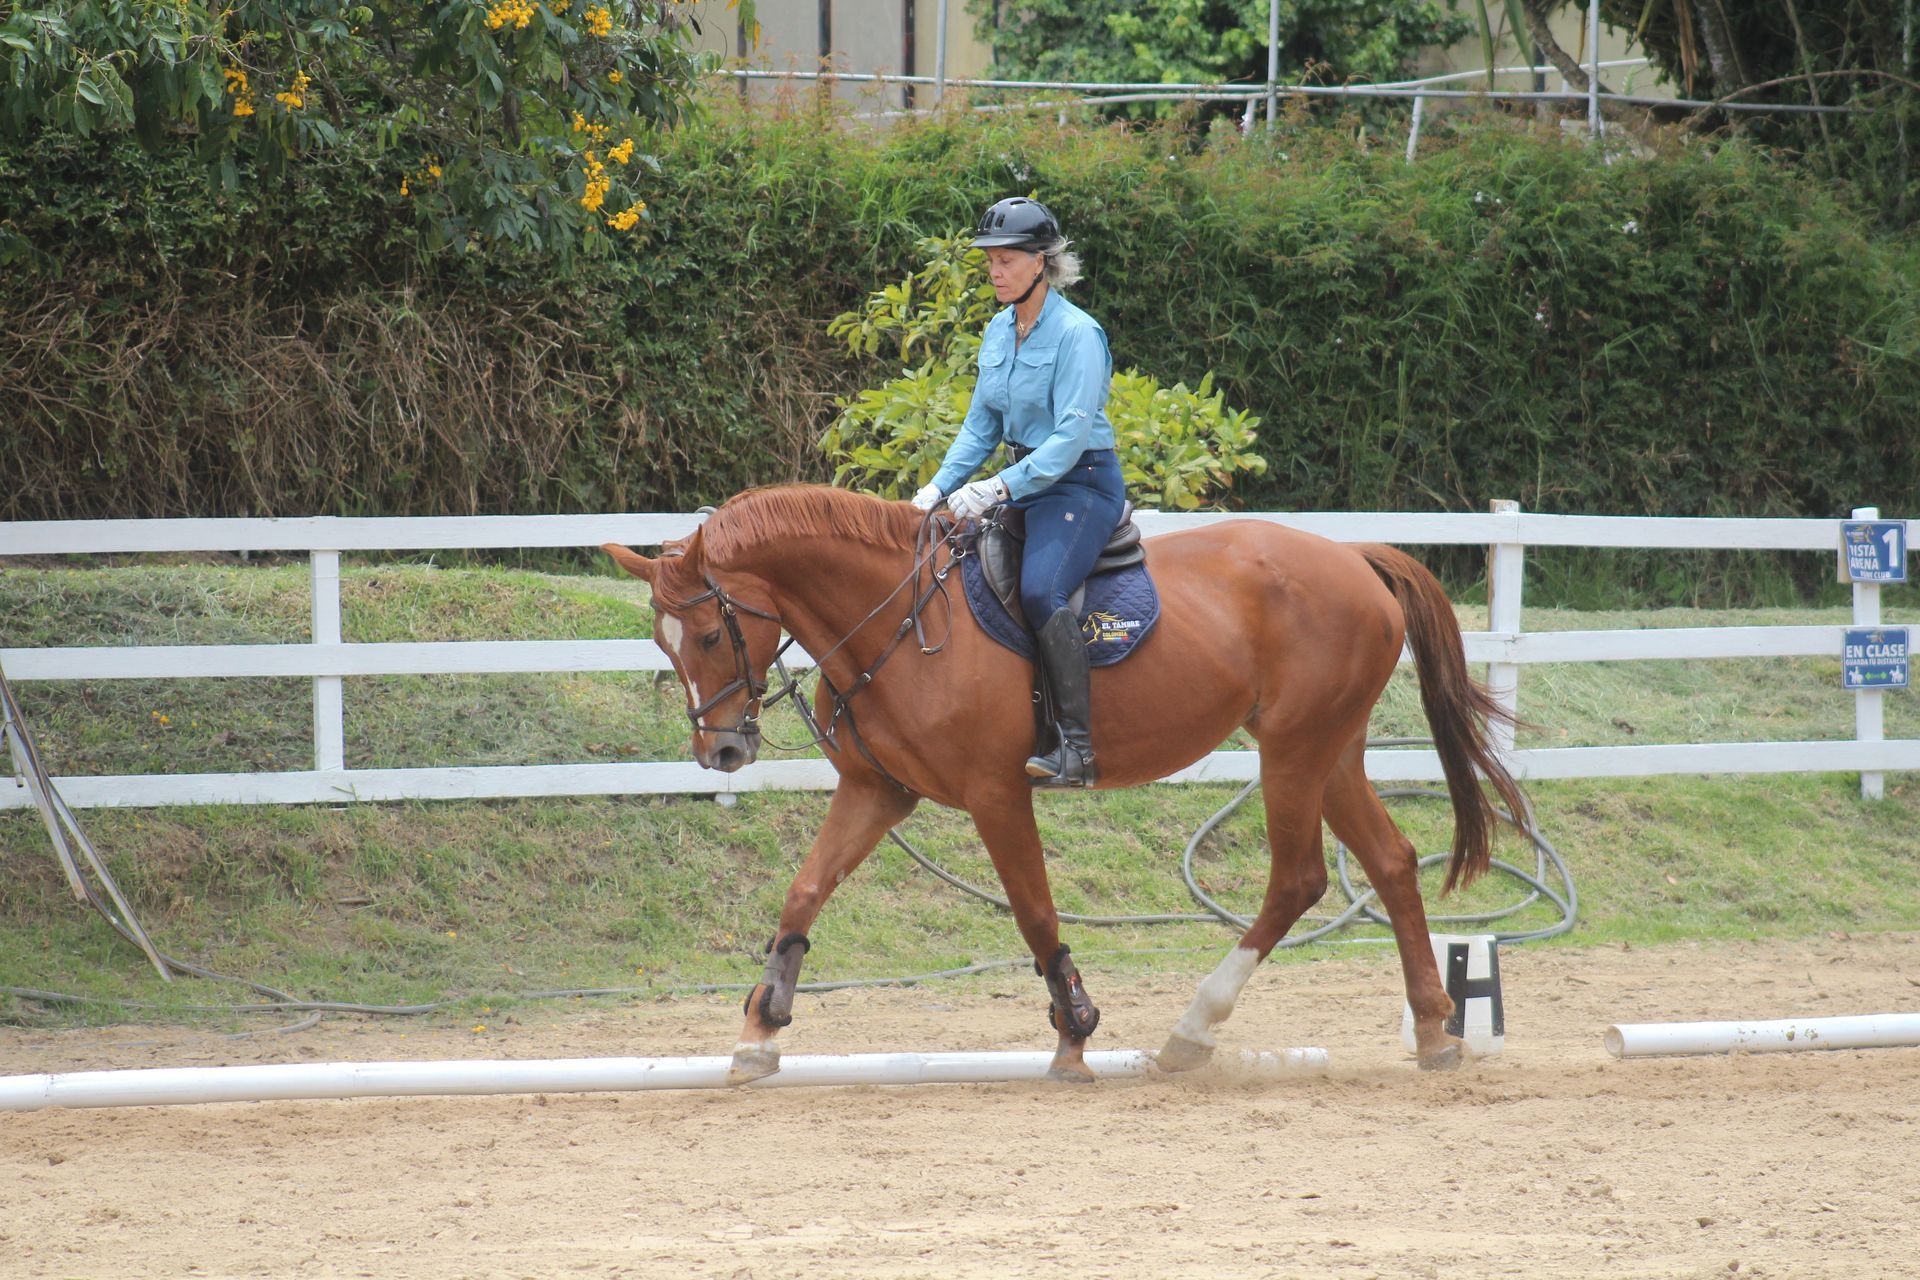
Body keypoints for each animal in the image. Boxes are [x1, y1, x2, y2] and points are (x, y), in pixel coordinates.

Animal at [604, 484, 1527, 1085]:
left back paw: (1193, 1032)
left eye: (711, 635)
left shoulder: (996, 793)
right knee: (1392, 861)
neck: (895, 620)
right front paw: (761, 1029)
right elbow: (803, 892)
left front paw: (1075, 1035)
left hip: (1294, 754)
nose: (721, 751)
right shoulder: (877, 790)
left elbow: (1034, 911)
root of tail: (1353, 557)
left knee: (1297, 879)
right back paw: (1436, 1032)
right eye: (662, 643)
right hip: (1328, 750)